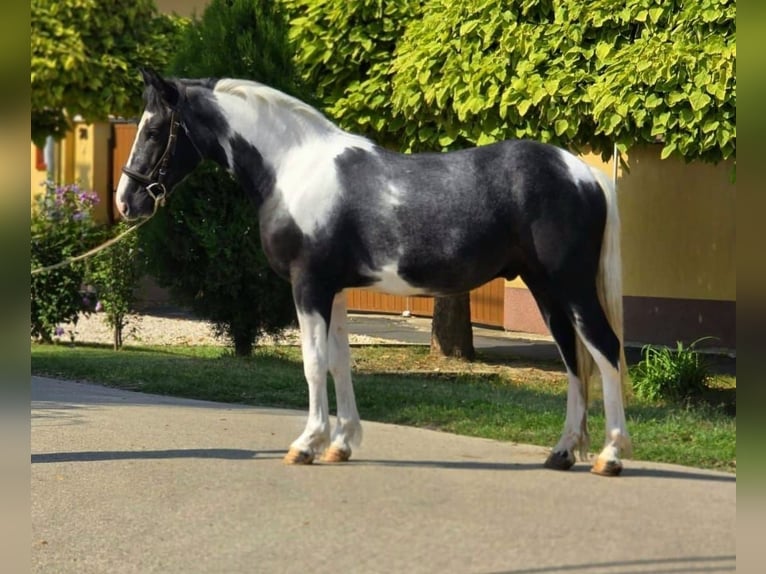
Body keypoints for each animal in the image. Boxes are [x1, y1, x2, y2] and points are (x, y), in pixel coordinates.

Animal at [117, 68, 631, 476]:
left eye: (154, 129)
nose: (127, 201)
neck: (293, 168)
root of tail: (584, 172)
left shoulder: (309, 285)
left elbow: (312, 363)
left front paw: (306, 444)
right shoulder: (337, 290)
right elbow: (340, 362)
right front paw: (340, 445)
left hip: (571, 287)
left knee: (604, 349)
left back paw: (610, 455)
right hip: (547, 290)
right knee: (573, 359)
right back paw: (562, 452)